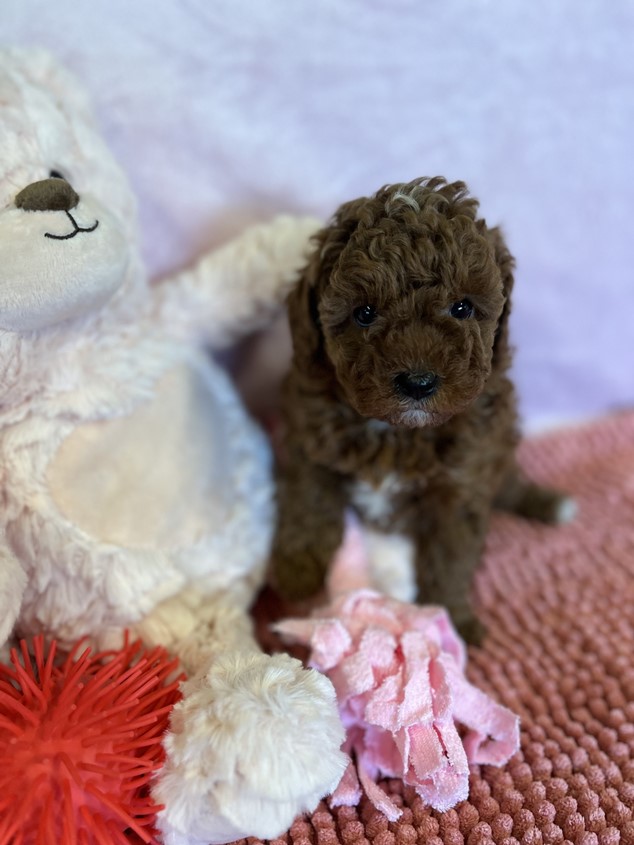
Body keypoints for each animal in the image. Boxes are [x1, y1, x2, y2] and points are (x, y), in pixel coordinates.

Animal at [270, 176, 572, 640]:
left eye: (463, 307)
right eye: (364, 313)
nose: (418, 383)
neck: (395, 431)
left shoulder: (462, 482)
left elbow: (449, 556)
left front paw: (452, 619)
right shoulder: (310, 438)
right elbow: (310, 501)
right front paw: (297, 572)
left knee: (511, 487)